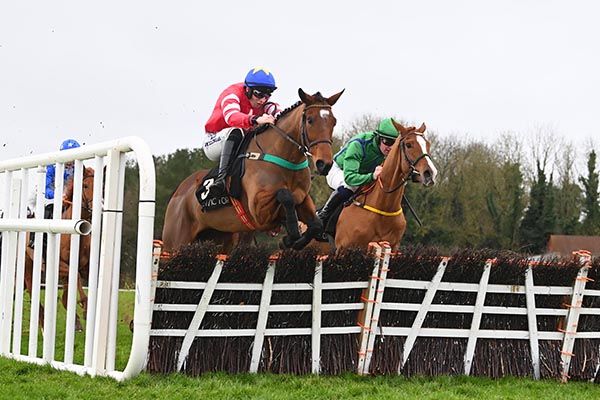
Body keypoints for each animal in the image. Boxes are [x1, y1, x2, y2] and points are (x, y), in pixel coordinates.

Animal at [24, 166, 94, 332]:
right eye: (85, 186)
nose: (95, 207)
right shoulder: (60, 265)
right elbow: (76, 278)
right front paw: (85, 305)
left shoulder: (84, 267)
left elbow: (69, 293)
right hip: (29, 270)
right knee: (34, 296)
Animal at [162, 89, 344, 255]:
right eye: (310, 120)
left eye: (334, 122)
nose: (324, 164)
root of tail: (178, 193)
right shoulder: (259, 209)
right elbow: (285, 195)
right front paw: (290, 234)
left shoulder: (304, 199)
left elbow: (315, 225)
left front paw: (292, 238)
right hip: (175, 244)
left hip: (219, 239)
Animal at [310, 120, 436, 253]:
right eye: (408, 145)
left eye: (428, 144)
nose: (430, 173)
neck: (383, 209)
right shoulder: (344, 249)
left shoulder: (392, 248)